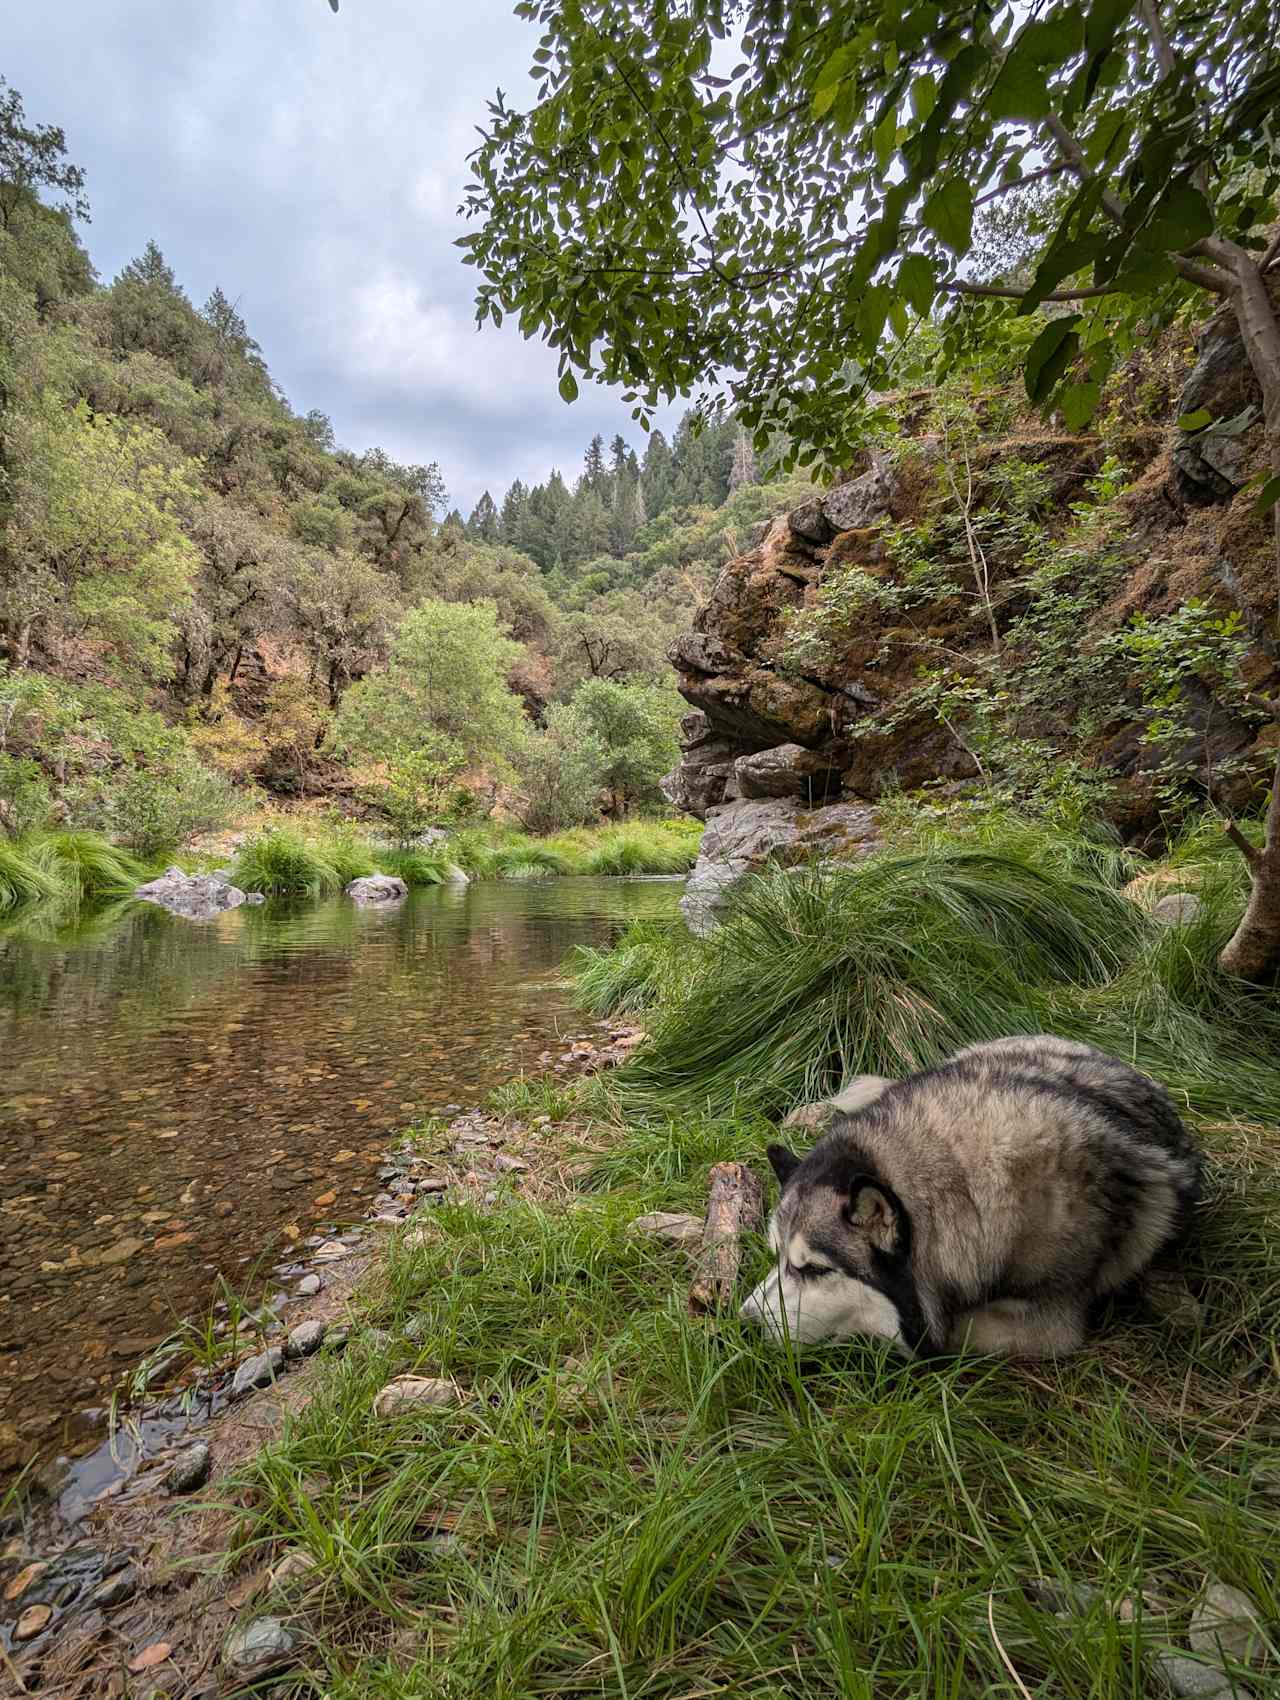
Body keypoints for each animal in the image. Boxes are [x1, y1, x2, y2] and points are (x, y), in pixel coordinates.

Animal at [737, 1026, 1196, 1360]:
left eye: (815, 1269)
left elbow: (938, 1336)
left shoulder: (1051, 1325)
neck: (966, 1193)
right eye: (776, 1256)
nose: (743, 1325)